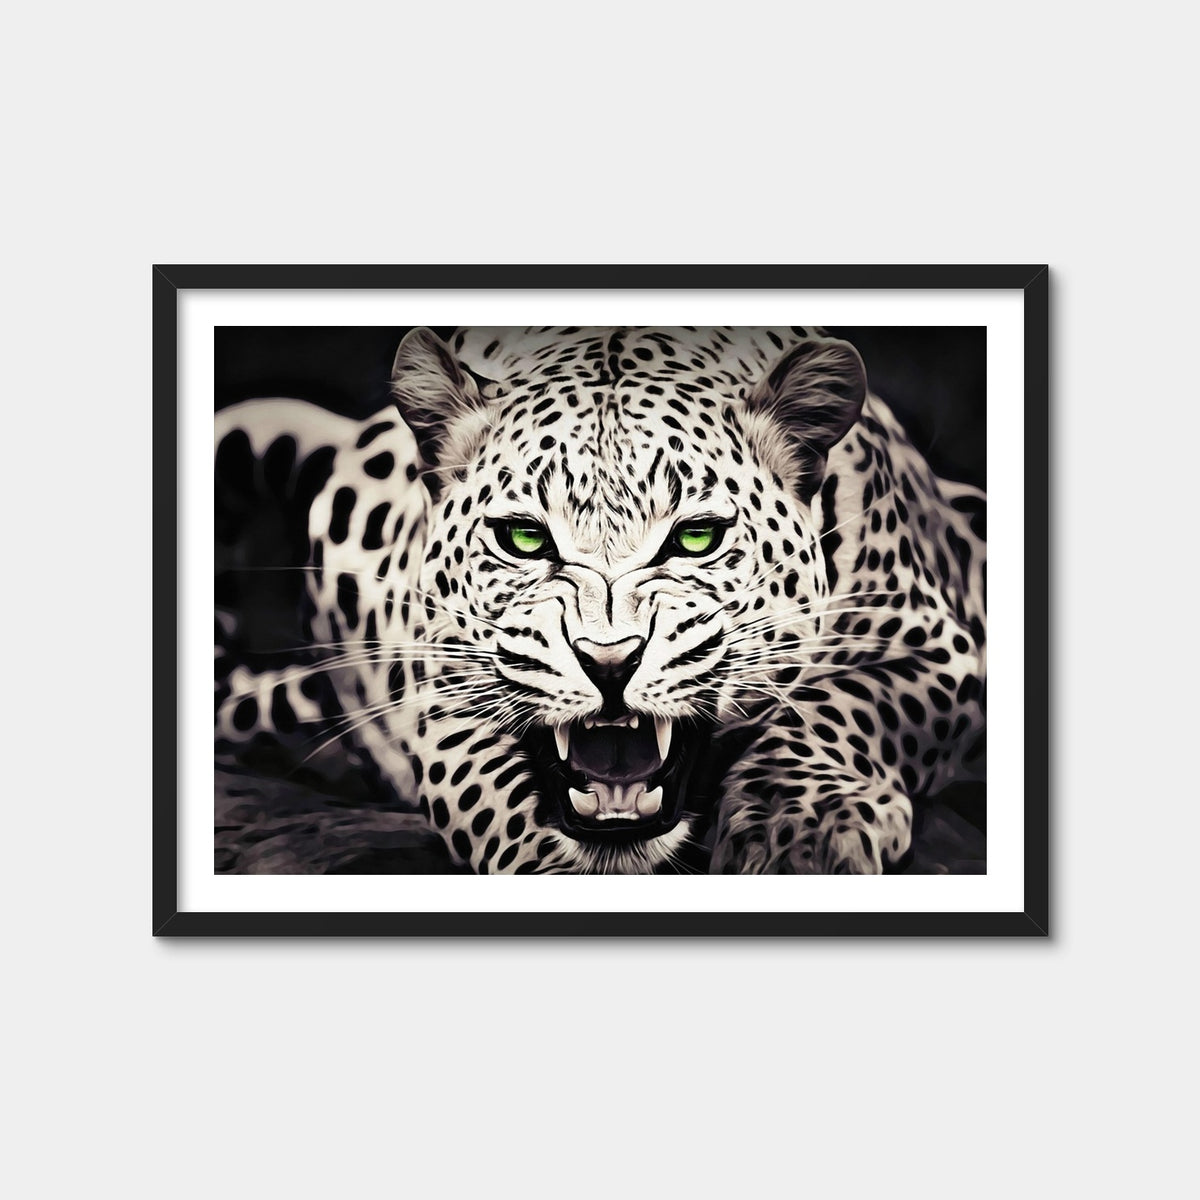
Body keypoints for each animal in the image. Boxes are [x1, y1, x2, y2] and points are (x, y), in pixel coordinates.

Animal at [215, 326, 986, 874]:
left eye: (696, 537)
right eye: (525, 538)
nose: (609, 662)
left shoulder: (936, 651)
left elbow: (840, 705)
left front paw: (801, 831)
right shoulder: (447, 697)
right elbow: (496, 800)